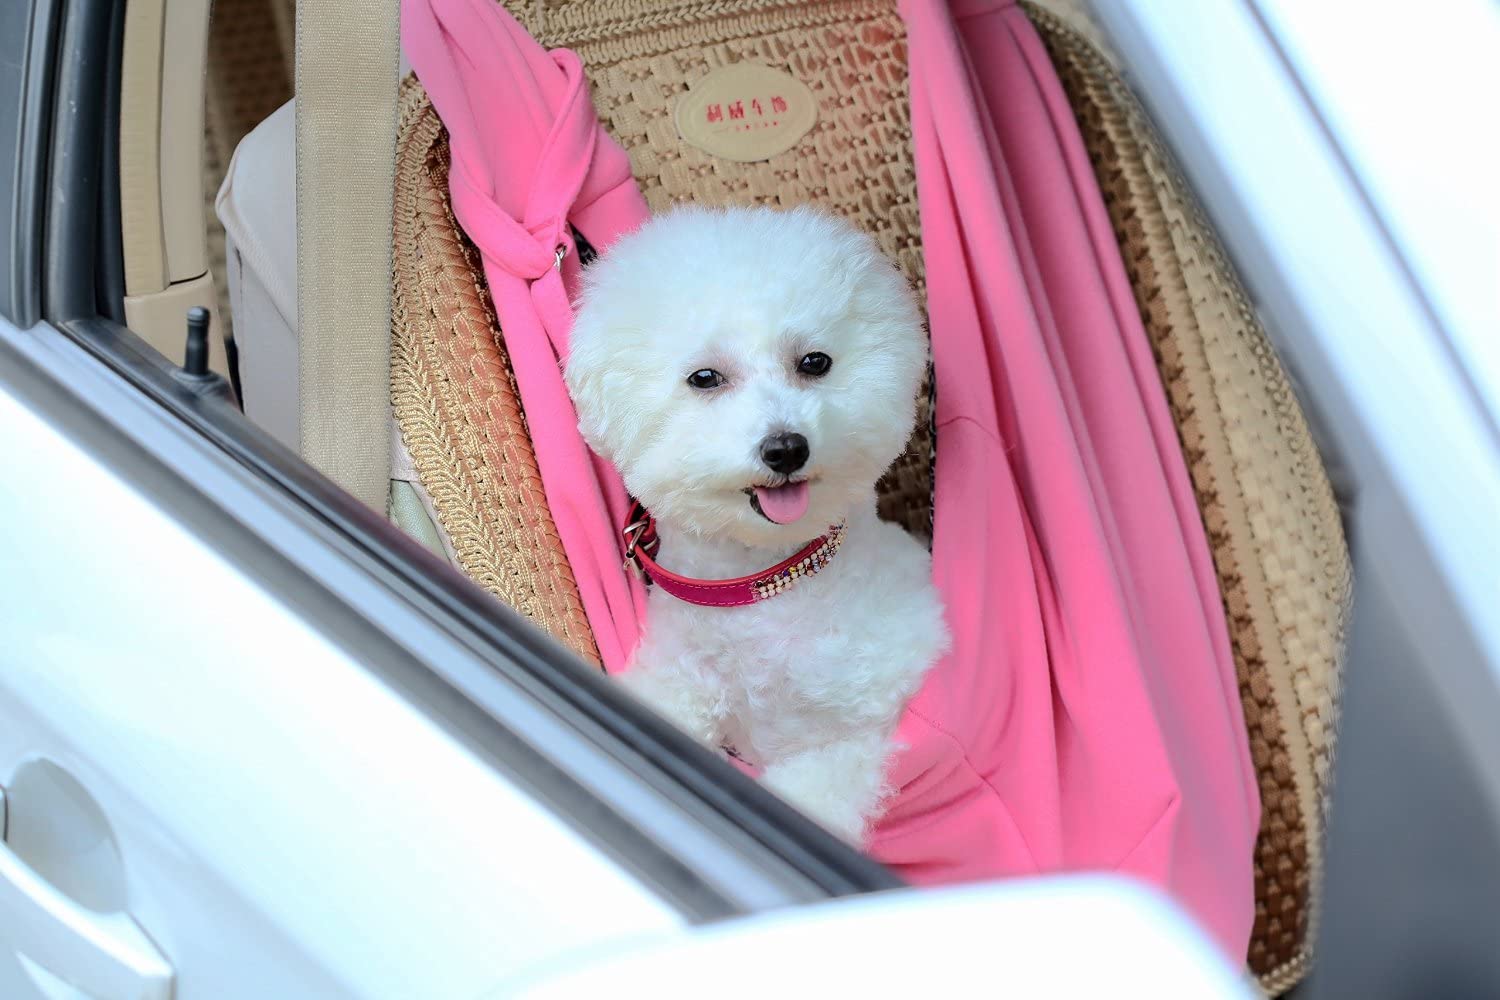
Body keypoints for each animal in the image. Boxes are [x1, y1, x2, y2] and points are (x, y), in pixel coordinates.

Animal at [564, 203, 948, 845]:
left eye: (815, 362)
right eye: (704, 377)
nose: (786, 448)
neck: (765, 588)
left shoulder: (856, 730)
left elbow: (818, 789)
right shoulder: (676, 679)